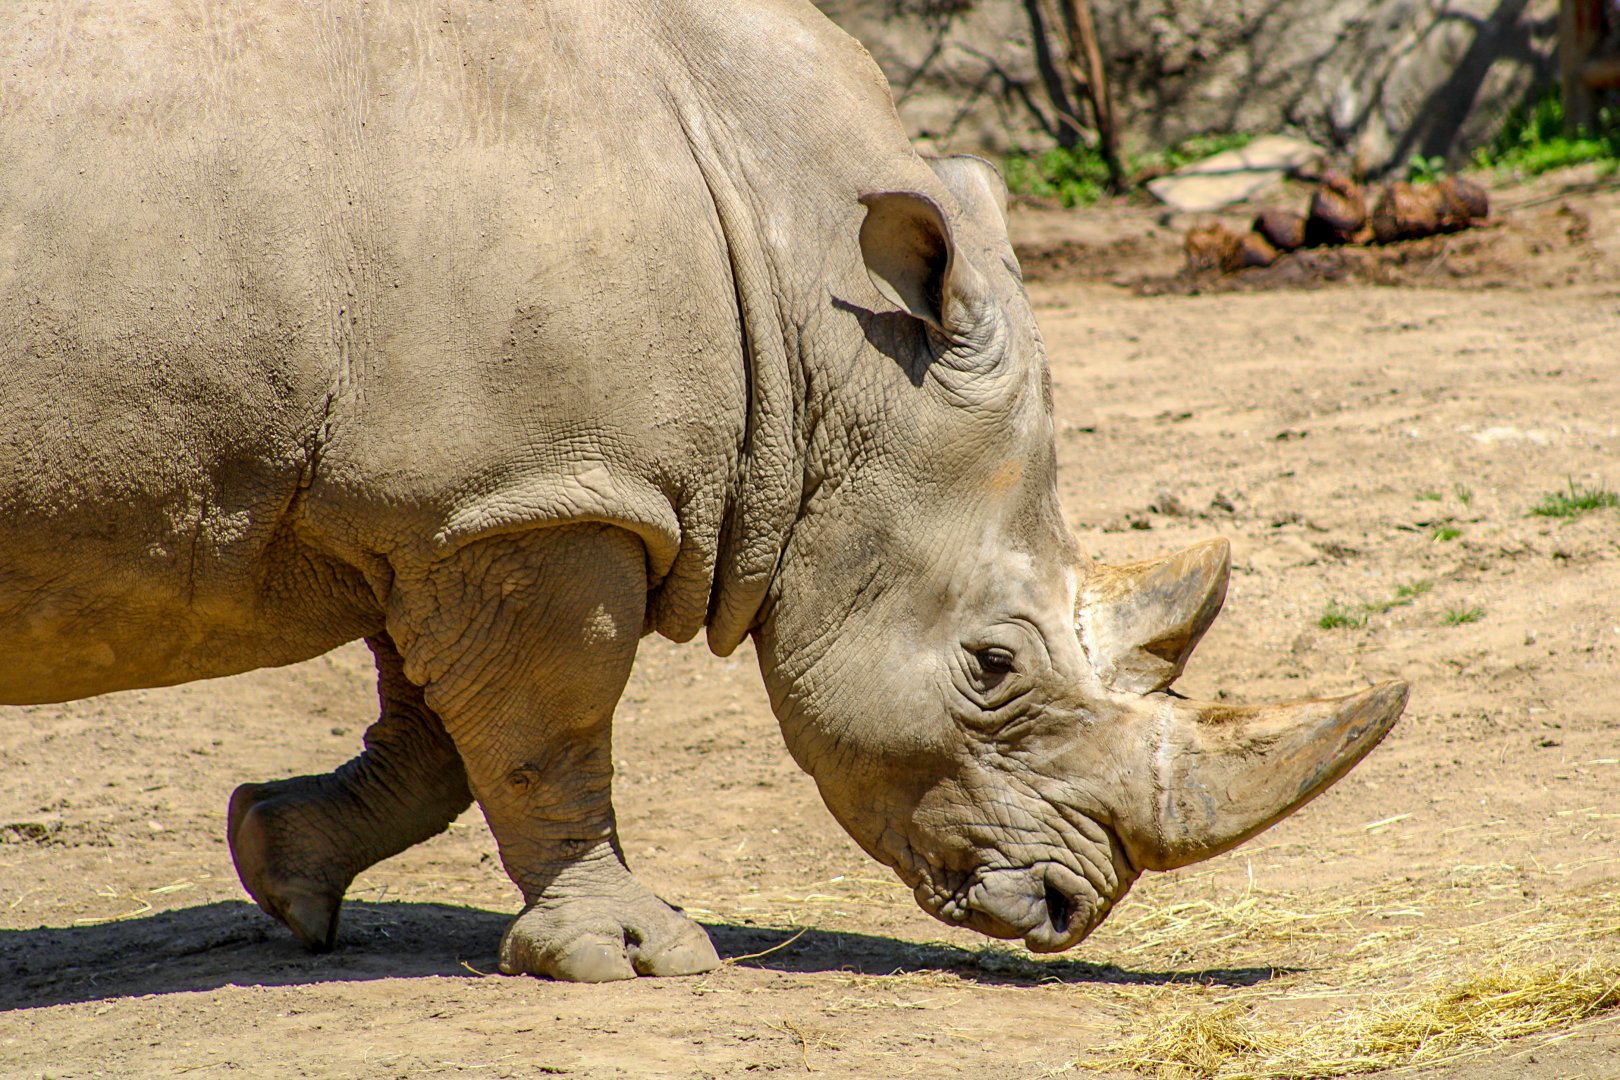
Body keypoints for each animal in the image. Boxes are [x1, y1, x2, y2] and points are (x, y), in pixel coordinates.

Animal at [0, 0, 1406, 982]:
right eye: (993, 665)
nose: (1070, 907)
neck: (806, 301)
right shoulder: (537, 495)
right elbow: (550, 721)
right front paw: (634, 959)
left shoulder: (455, 495)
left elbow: (442, 733)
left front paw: (279, 863)